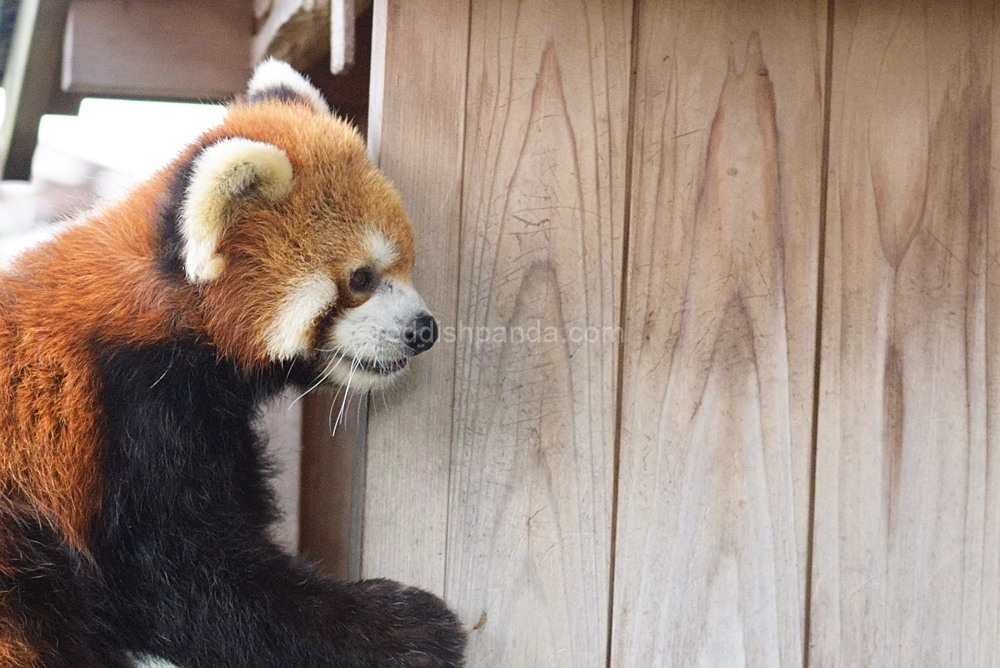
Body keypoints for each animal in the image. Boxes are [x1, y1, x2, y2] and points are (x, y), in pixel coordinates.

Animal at [0, 60, 464, 664]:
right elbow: (186, 576)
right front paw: (393, 627)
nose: (424, 330)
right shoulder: (127, 415)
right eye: (361, 278)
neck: (169, 312)